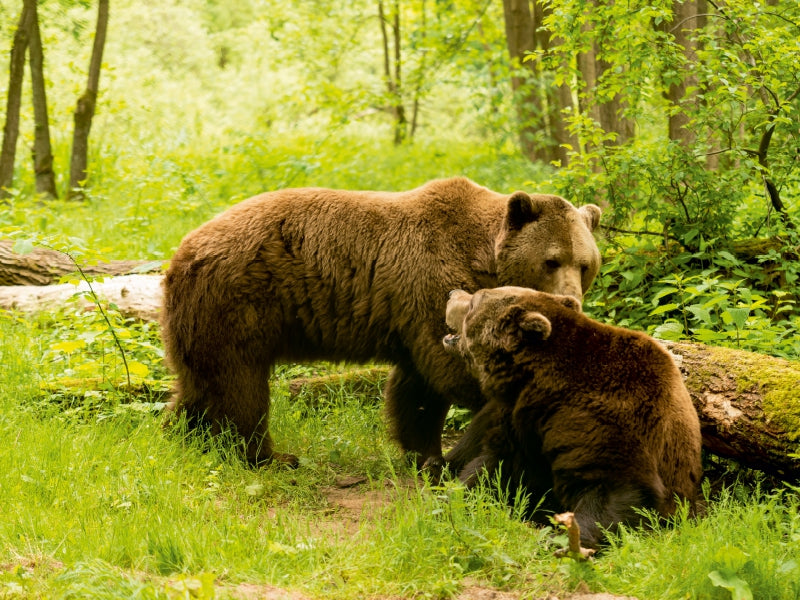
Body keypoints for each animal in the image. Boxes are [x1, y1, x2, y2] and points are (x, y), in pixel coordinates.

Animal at [159, 177, 602, 467]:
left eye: (584, 263)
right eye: (551, 260)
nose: (573, 300)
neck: (482, 259)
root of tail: (181, 252)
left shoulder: (409, 314)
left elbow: (416, 390)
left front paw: (424, 453)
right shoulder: (432, 281)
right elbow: (448, 368)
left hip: (201, 318)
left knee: (199, 383)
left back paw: (179, 435)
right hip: (240, 303)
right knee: (240, 387)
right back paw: (268, 455)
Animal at [442, 286, 703, 548]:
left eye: (474, 300)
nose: (453, 293)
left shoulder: (612, 417)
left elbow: (614, 487)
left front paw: (564, 538)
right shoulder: (521, 420)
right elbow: (491, 466)